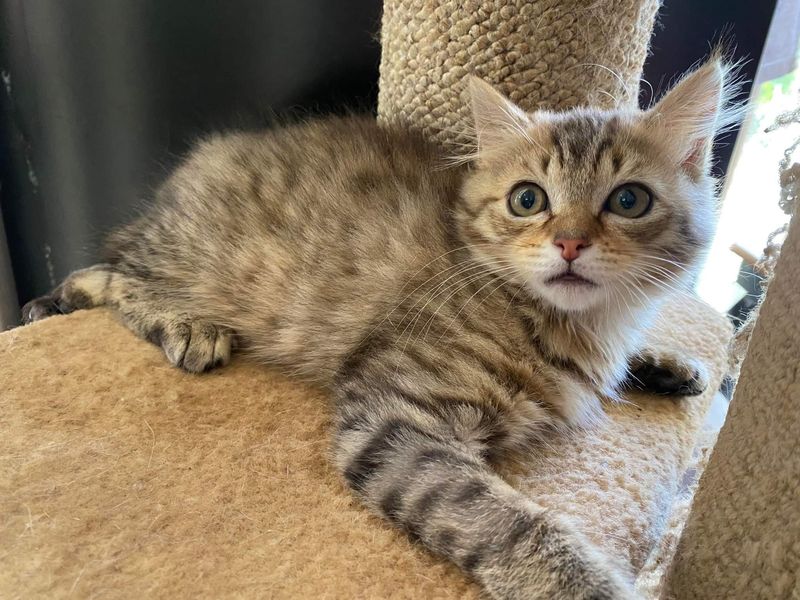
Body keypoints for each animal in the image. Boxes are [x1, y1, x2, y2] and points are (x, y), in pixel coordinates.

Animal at [23, 57, 736, 600]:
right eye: (528, 199)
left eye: (628, 200)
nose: (568, 243)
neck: (576, 322)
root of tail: (181, 182)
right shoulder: (392, 414)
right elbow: (512, 523)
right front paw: (587, 585)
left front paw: (661, 362)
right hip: (187, 256)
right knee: (106, 278)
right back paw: (182, 322)